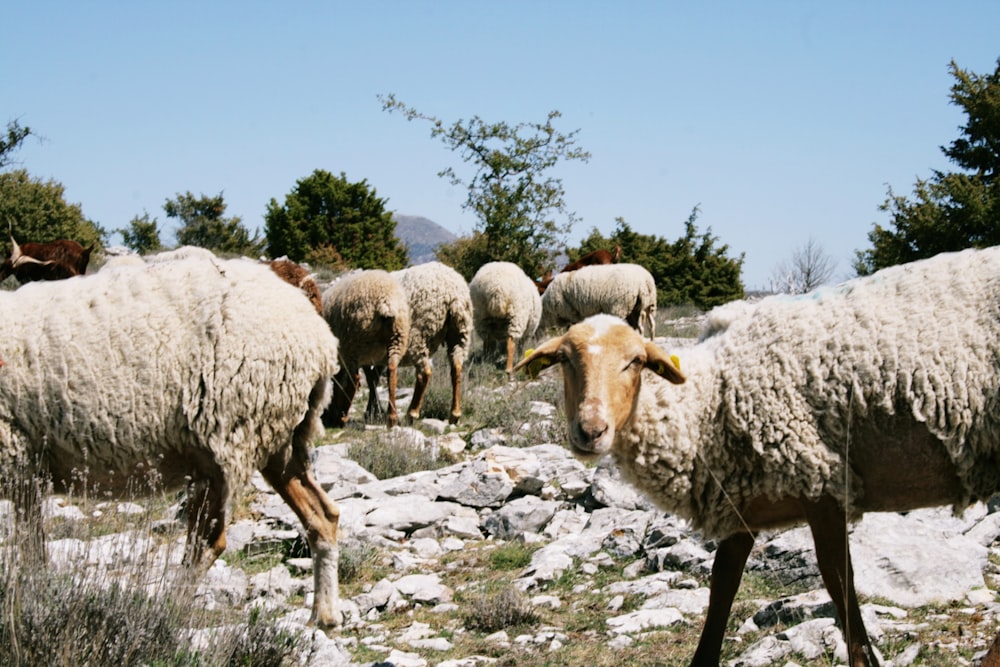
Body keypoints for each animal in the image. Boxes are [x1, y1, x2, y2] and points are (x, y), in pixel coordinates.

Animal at [0, 254, 344, 628]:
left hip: (226, 437)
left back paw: (167, 611)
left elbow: (30, 550)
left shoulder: (19, 459)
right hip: (279, 438)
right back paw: (324, 614)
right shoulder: (28, 468)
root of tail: (319, 337)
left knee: (207, 543)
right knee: (323, 516)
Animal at [324, 268, 410, 428]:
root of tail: (386, 303)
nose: (329, 416)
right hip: (396, 339)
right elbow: (372, 379)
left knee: (355, 379)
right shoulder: (372, 357)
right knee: (392, 370)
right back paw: (392, 417)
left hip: (356, 344)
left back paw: (343, 418)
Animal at [392, 260, 474, 422]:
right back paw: (455, 414)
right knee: (456, 368)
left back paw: (412, 413)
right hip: (460, 333)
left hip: (419, 333)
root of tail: (453, 293)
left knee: (424, 373)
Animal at [520, 245, 1000, 667]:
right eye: (564, 360)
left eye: (635, 362)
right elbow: (721, 589)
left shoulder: (821, 480)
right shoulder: (740, 501)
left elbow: (839, 585)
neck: (709, 400)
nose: (590, 431)